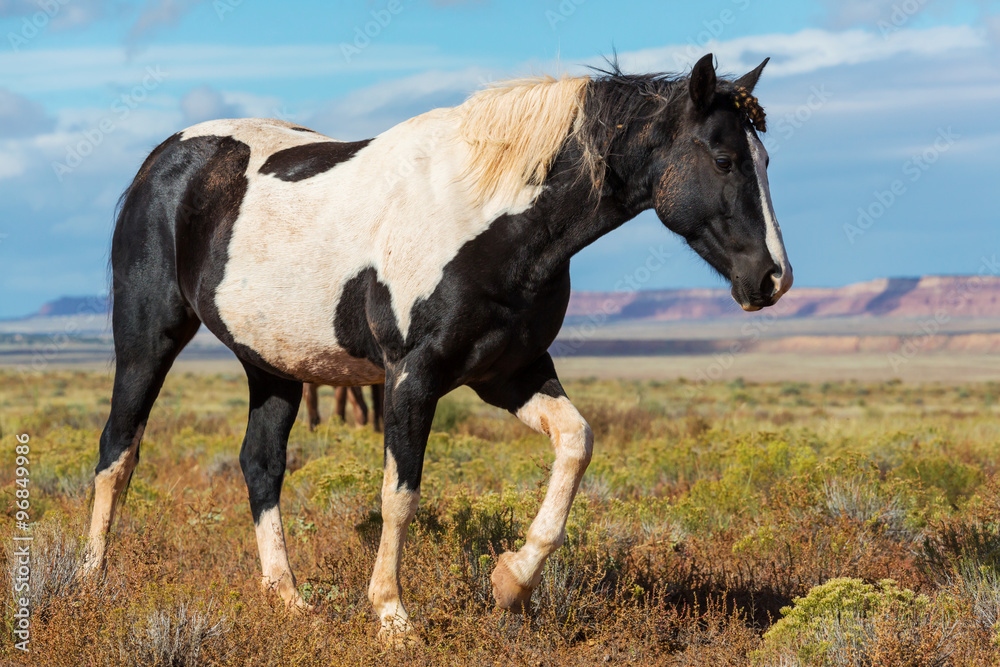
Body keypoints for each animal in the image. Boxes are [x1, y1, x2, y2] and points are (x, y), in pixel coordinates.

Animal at [83, 53, 791, 641]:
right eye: (724, 159)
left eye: (764, 161)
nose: (773, 278)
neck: (486, 215)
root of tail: (163, 160)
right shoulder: (411, 377)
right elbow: (400, 495)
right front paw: (393, 616)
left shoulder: (511, 374)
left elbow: (576, 443)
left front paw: (511, 583)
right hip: (148, 339)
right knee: (118, 450)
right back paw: (90, 583)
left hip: (275, 365)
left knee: (260, 465)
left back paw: (289, 600)